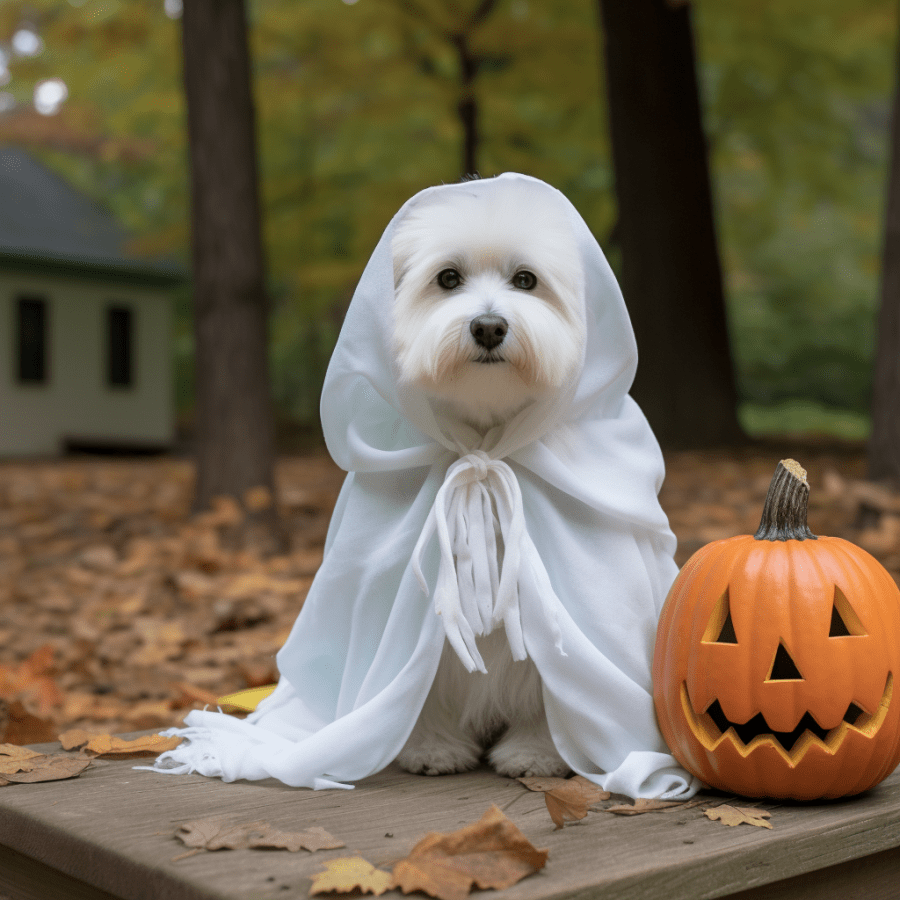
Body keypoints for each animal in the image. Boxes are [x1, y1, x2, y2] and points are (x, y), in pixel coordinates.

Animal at [390, 179, 588, 776]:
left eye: (526, 280)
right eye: (447, 278)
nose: (488, 326)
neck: (484, 442)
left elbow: (550, 681)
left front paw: (537, 751)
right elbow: (424, 679)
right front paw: (430, 746)